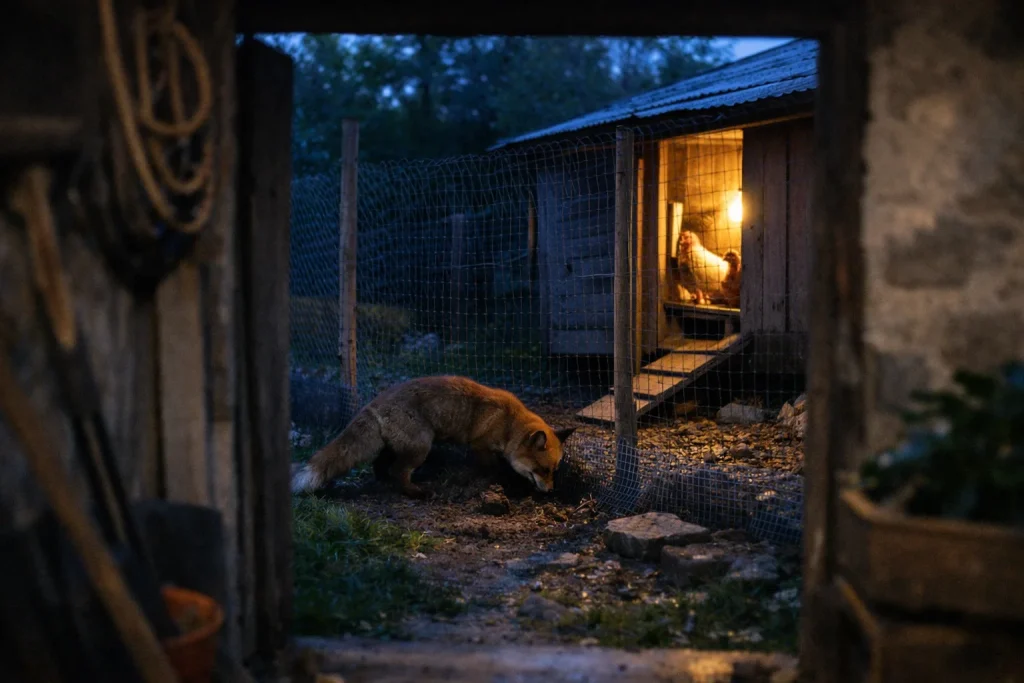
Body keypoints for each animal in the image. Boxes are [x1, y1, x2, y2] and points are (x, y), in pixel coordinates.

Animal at [290, 375, 578, 499]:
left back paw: (384, 482)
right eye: (542, 470)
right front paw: (505, 483)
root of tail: (375, 402)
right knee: (398, 471)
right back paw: (415, 492)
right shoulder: (481, 446)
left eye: (554, 471)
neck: (509, 423)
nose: (551, 491)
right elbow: (495, 468)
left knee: (381, 466)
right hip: (422, 446)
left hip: (395, 446)